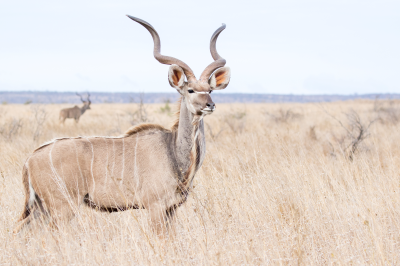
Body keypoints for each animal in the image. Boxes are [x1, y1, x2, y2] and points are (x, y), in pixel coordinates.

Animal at [14, 15, 231, 236]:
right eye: (190, 90)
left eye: (210, 90)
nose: (210, 105)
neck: (173, 151)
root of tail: (30, 159)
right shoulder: (155, 207)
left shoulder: (171, 209)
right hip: (62, 207)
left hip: (41, 208)